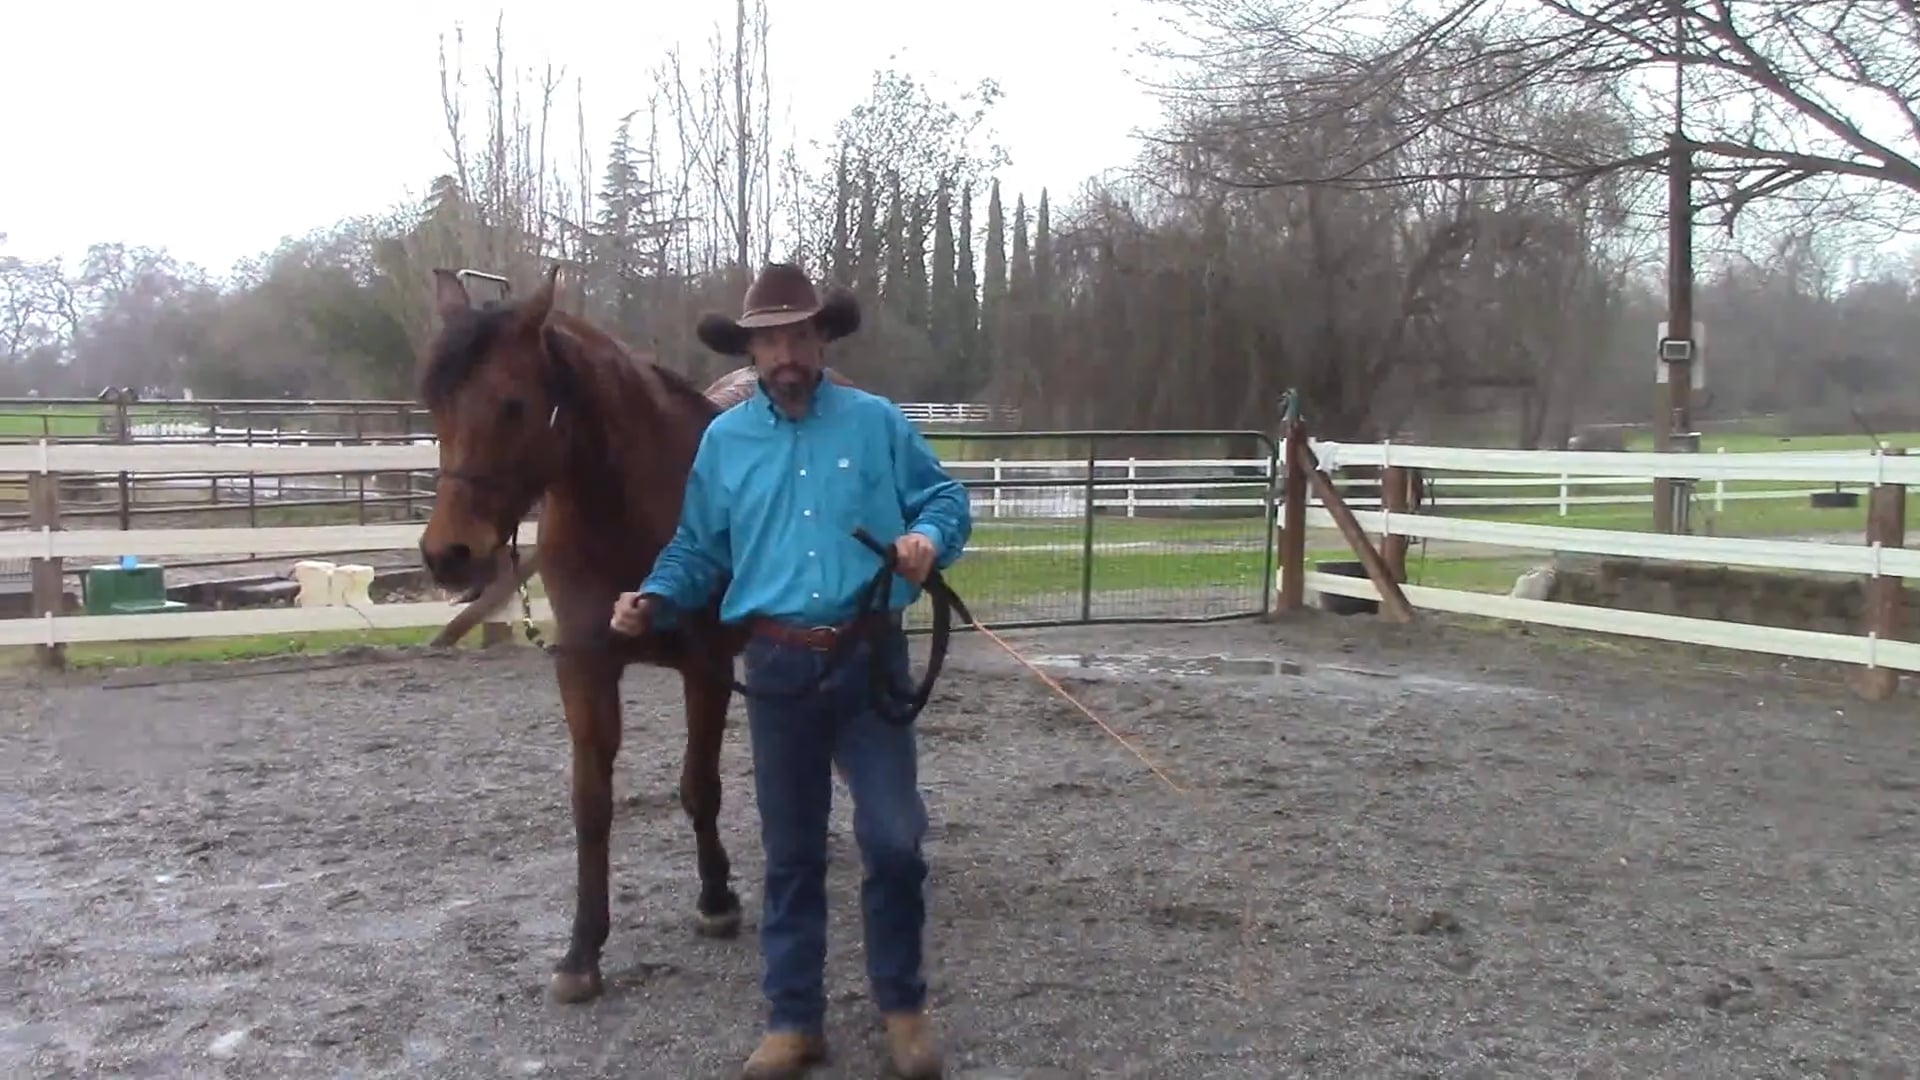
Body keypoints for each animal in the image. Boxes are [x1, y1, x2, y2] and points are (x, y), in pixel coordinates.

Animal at [415, 265, 763, 1005]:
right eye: (433, 403)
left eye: (513, 404)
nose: (448, 554)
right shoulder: (584, 667)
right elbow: (591, 805)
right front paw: (581, 952)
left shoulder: (707, 667)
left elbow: (700, 785)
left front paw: (716, 900)